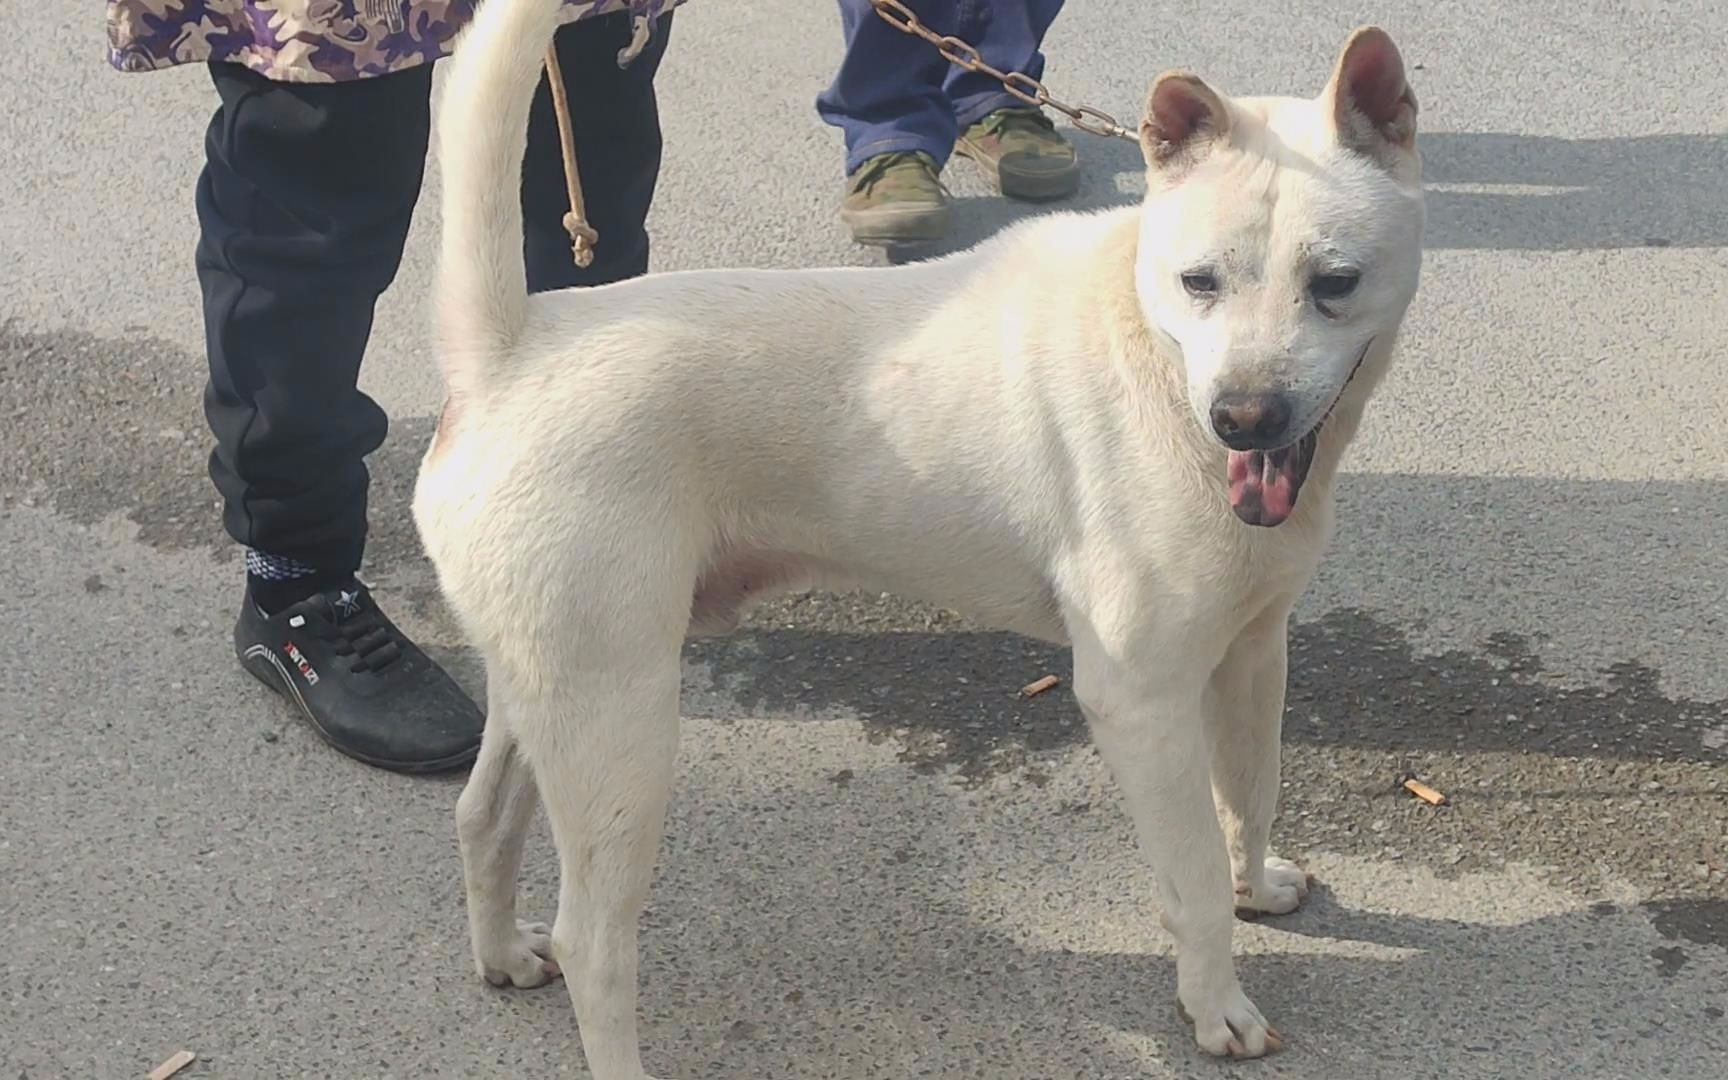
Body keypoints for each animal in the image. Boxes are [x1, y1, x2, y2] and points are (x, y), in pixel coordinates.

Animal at [414, 4, 1416, 1071]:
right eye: (1199, 282)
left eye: (1335, 282)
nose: (1244, 418)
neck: (1150, 338)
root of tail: (503, 350)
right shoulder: (1143, 703)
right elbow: (1191, 886)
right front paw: (1216, 1002)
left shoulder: (1254, 656)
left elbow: (1253, 794)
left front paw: (1256, 887)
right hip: (621, 731)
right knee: (593, 942)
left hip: (548, 692)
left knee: (482, 818)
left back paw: (500, 954)